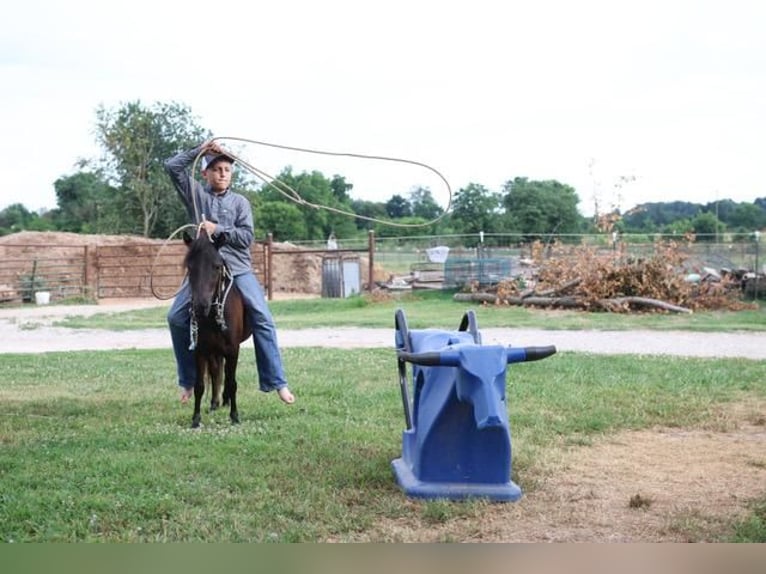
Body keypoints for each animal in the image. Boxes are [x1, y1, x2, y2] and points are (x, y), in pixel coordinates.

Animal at [182, 228, 250, 428]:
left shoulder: (233, 349)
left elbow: (232, 382)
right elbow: (199, 385)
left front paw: (234, 416)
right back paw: (215, 402)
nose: (200, 306)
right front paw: (195, 419)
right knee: (215, 372)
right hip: (213, 351)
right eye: (190, 267)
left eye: (217, 266)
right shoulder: (200, 350)